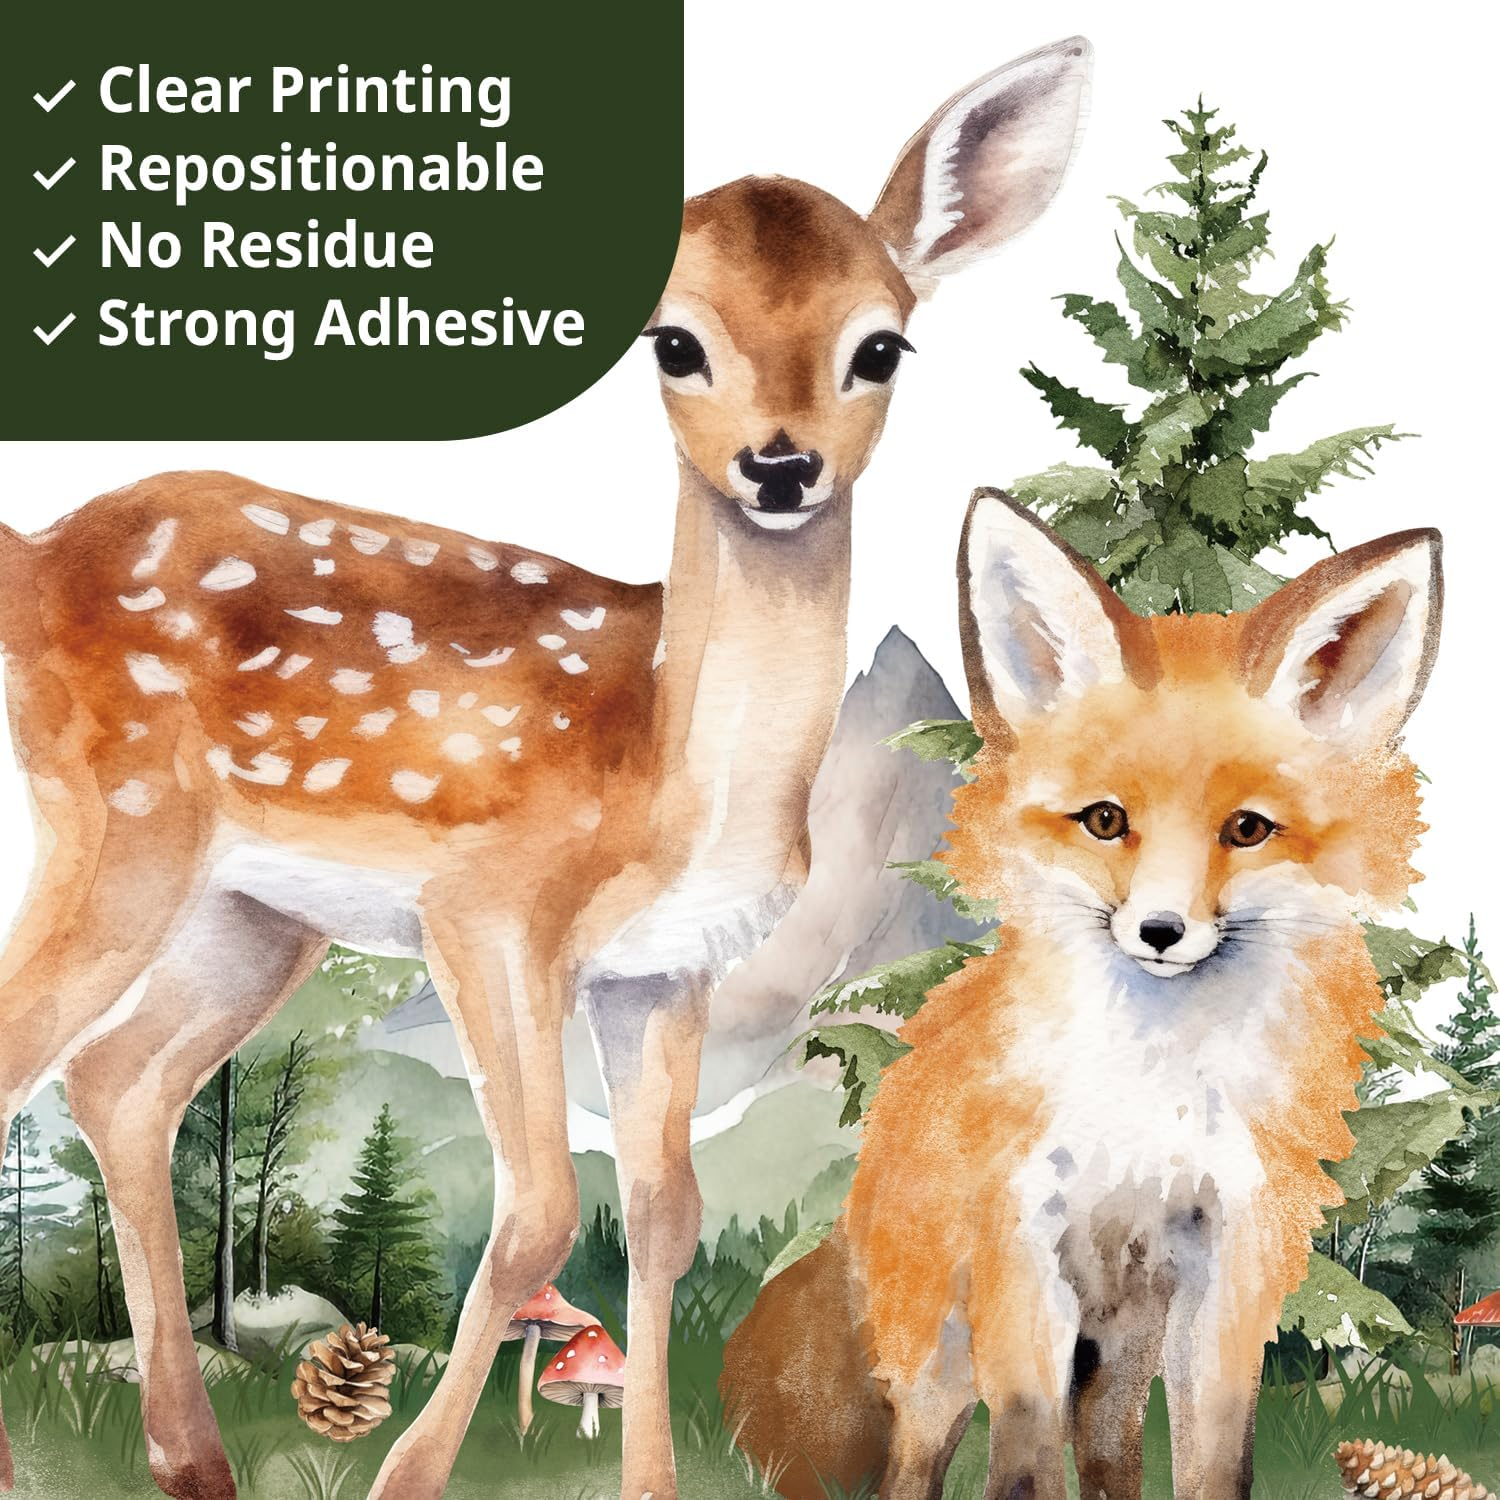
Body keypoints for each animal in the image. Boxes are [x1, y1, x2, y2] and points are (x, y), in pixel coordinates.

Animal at [0, 37, 1091, 1500]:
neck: (675, 779)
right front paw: (405, 1478)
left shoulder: (663, 969)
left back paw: (194, 1459)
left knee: (117, 1084)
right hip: (116, 819)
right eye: (676, 342)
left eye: (881, 344)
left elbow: (664, 1213)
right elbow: (536, 1216)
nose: (782, 464)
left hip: (254, 913)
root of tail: (32, 553)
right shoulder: (493, 911)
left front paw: (651, 1485)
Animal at [720, 488, 1442, 1500]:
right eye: (1105, 820)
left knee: (1107, 1457)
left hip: (1118, 1359)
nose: (1161, 932)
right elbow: (1024, 1462)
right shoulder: (1028, 1255)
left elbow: (1213, 1459)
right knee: (916, 1466)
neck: (1150, 1093)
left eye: (1247, 830)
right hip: (947, 1362)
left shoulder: (1223, 1266)